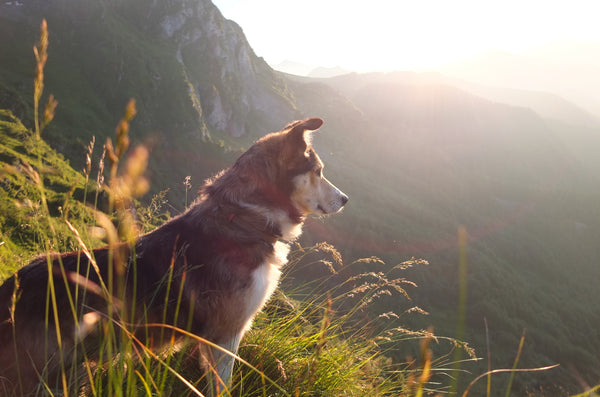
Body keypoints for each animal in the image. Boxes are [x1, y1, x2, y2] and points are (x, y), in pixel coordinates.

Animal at [0, 117, 346, 392]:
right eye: (318, 172)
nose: (345, 199)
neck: (245, 218)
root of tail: (12, 287)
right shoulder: (226, 333)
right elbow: (222, 385)